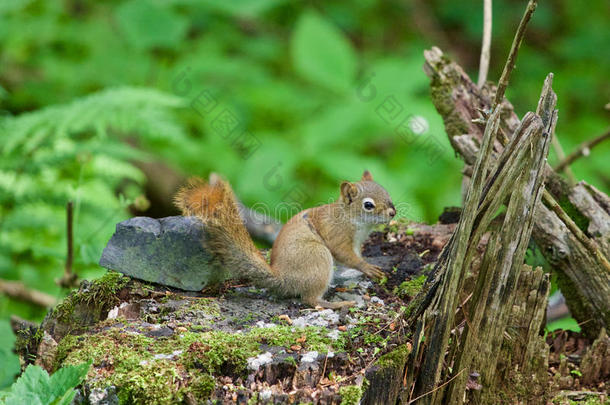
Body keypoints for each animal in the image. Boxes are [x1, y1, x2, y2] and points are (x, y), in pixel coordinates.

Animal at [173, 169, 396, 308]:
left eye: (386, 192)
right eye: (368, 205)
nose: (393, 213)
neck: (351, 218)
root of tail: (282, 278)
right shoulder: (337, 234)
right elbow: (346, 255)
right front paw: (367, 268)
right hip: (318, 255)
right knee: (310, 299)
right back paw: (338, 303)